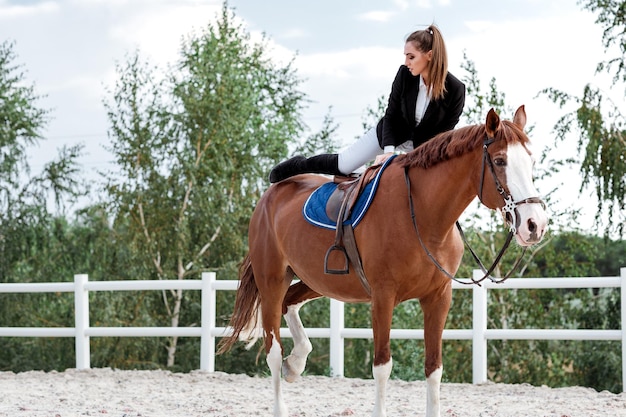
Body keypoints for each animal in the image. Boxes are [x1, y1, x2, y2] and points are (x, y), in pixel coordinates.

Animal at [218, 105, 544, 414]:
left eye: (531, 162)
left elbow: (434, 368)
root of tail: (269, 197)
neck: (423, 216)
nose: (535, 225)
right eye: (500, 161)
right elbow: (382, 366)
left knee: (290, 304)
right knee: (273, 348)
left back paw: (296, 363)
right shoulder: (383, 296)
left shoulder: (438, 297)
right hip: (272, 279)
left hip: (317, 281)